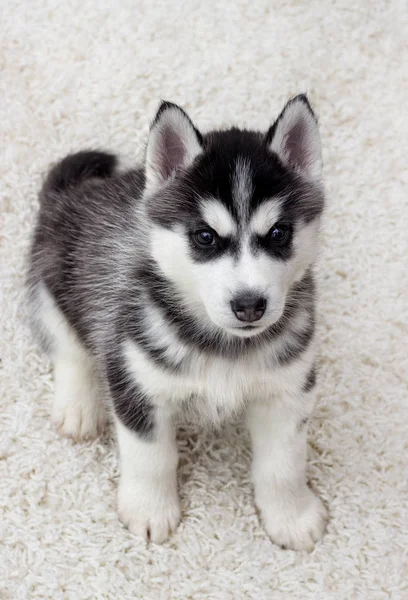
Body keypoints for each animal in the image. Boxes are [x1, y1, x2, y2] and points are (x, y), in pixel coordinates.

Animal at [27, 94, 328, 548]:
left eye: (279, 233)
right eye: (205, 237)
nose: (249, 305)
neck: (225, 344)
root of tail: (76, 193)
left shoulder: (287, 392)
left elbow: (283, 464)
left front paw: (291, 517)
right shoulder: (136, 382)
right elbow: (151, 457)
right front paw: (149, 510)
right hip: (52, 283)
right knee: (68, 347)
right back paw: (78, 406)